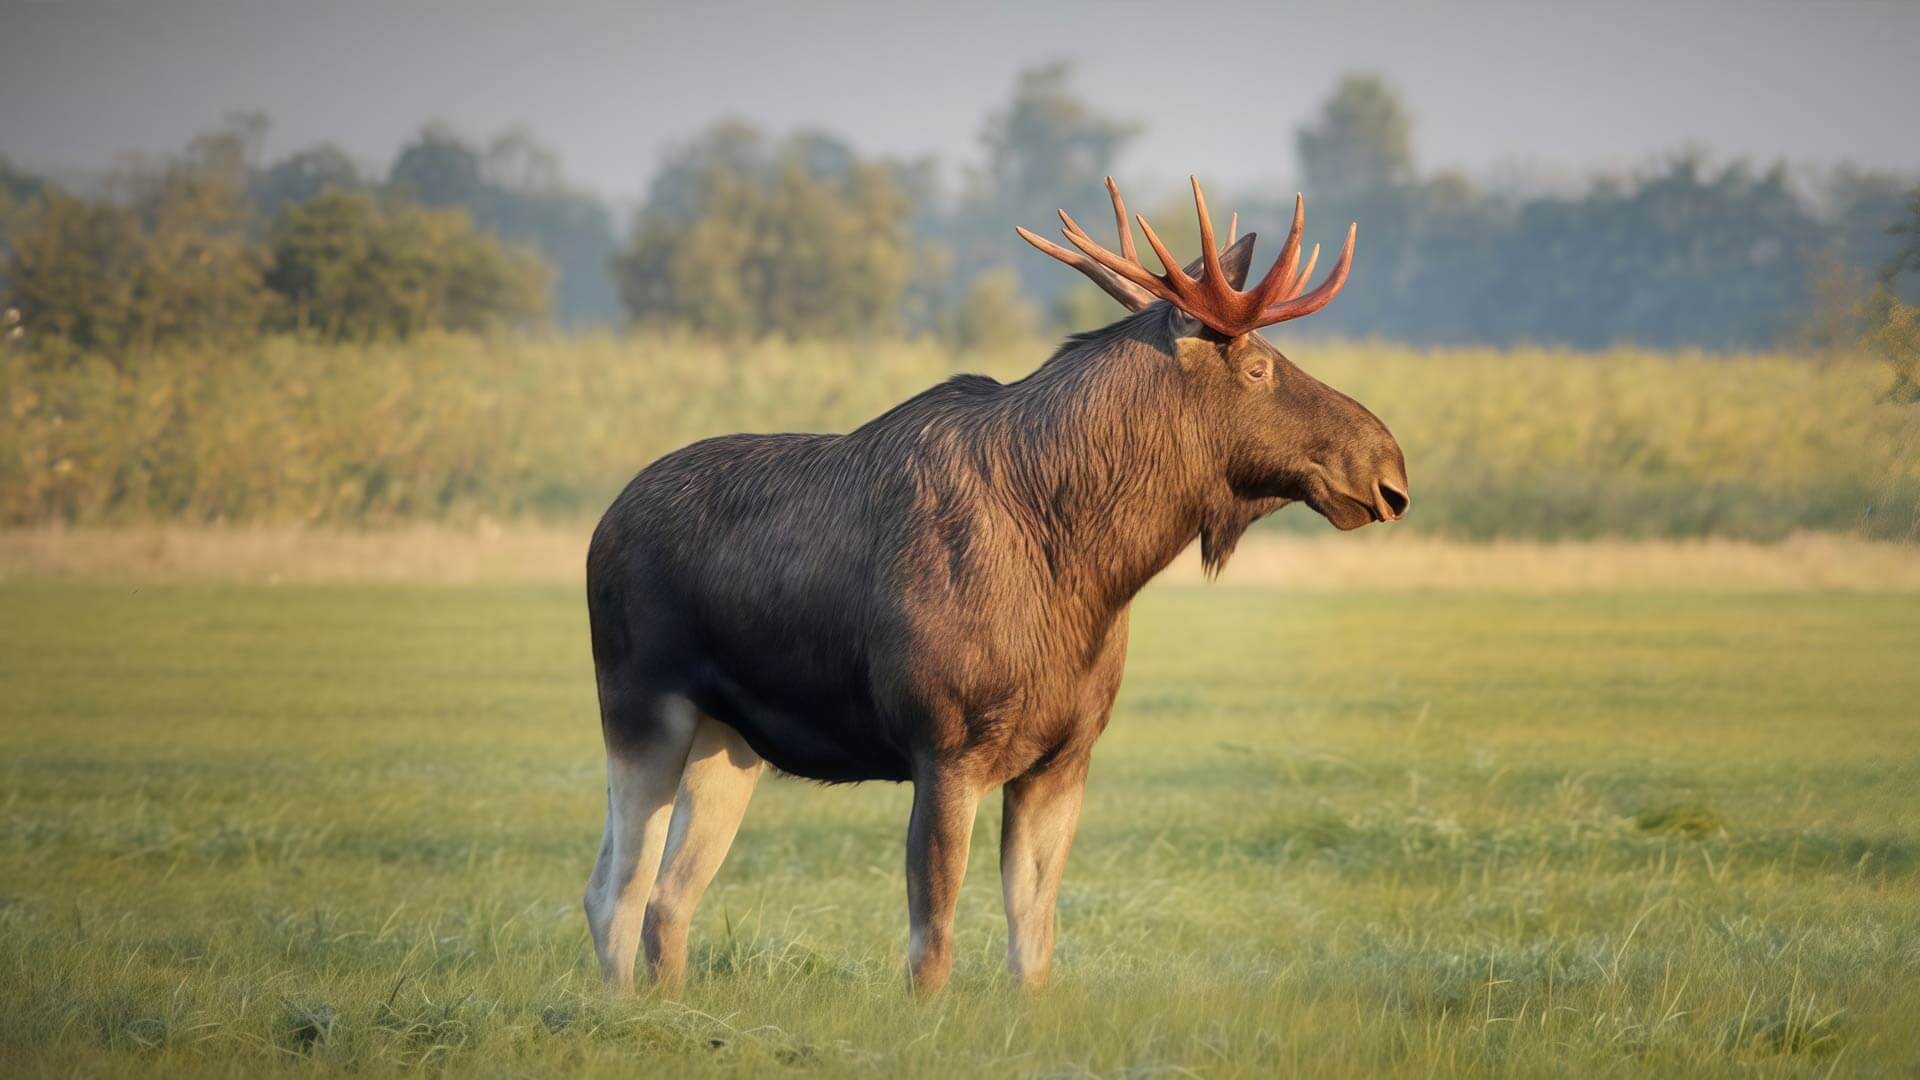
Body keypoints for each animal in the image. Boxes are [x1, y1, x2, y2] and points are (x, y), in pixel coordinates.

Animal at [583, 176, 1408, 995]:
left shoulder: (1062, 759)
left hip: (732, 743)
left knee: (667, 898)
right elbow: (932, 945)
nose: (1389, 470)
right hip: (642, 709)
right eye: (1258, 366)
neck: (1088, 567)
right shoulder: (945, 751)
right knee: (614, 891)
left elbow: (1032, 942)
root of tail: (603, 524)